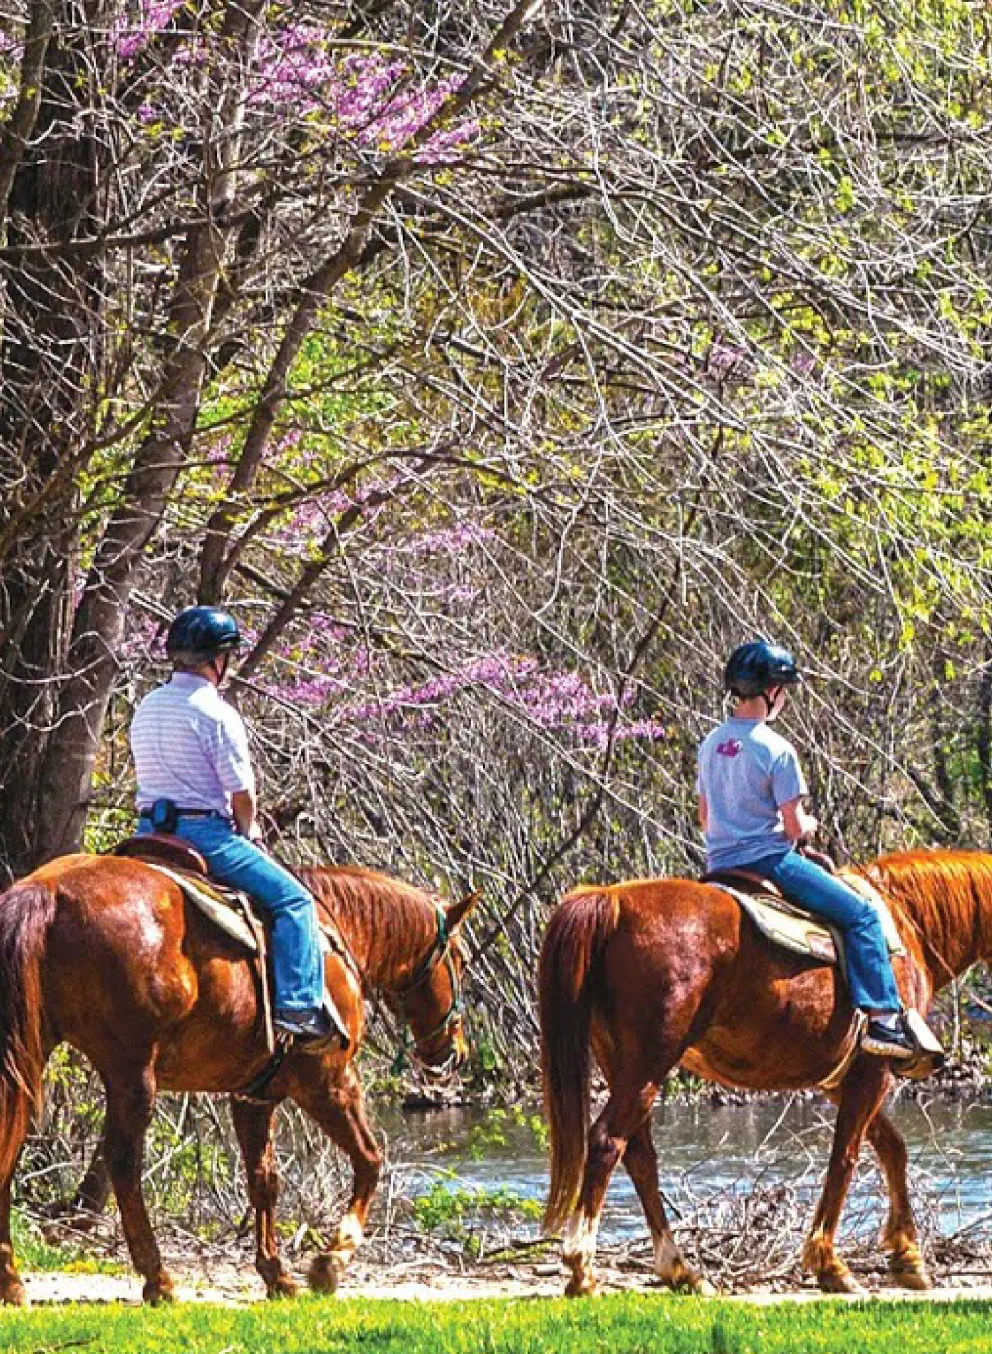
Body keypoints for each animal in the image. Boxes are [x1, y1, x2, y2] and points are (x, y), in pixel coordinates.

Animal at [0, 853, 477, 1306]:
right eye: (462, 959)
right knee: (123, 1164)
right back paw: (158, 1279)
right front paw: (331, 1260)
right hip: (132, 1074)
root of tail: (49, 890)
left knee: (11, 1148)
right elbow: (370, 1159)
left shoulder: (254, 1097)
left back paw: (12, 1283)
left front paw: (277, 1275)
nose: (455, 1050)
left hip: (31, 1058)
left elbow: (264, 1180)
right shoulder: (330, 1082)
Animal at [538, 848, 992, 1297]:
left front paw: (907, 1258)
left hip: (622, 1062)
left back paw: (681, 1270)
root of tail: (611, 900)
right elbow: (845, 1159)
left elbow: (892, 1149)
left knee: (639, 1154)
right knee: (607, 1142)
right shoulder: (872, 1072)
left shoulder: (841, 1082)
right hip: (648, 1062)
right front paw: (830, 1266)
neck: (908, 923)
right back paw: (583, 1269)